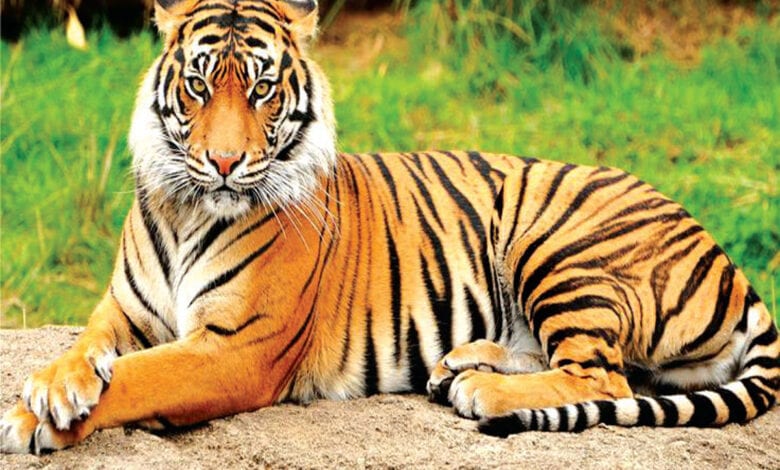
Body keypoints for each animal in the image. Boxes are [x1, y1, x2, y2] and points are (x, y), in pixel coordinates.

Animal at [1, 0, 778, 454]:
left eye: (262, 88)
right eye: (197, 85)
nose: (223, 162)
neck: (188, 204)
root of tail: (730, 263)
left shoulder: (235, 347)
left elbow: (139, 378)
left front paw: (31, 419)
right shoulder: (123, 311)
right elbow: (87, 350)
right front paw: (54, 385)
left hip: (555, 238)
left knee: (605, 376)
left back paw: (481, 390)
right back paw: (464, 362)